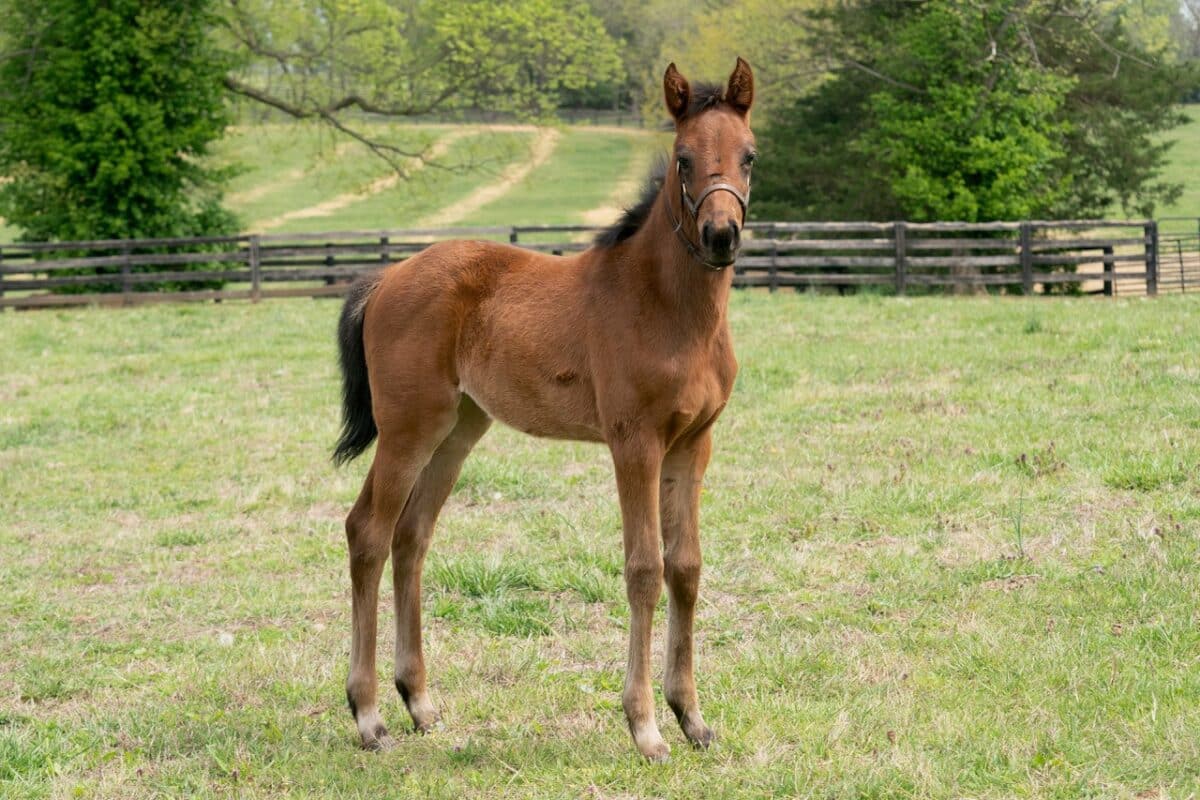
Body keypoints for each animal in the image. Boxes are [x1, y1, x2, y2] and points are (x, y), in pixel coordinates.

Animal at [333, 57, 753, 762]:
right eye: (684, 159)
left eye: (749, 156)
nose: (720, 235)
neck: (667, 307)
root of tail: (386, 277)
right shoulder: (634, 441)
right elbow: (645, 569)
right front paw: (644, 727)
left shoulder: (695, 443)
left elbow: (686, 568)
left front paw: (691, 717)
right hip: (408, 427)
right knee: (368, 531)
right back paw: (368, 716)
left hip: (457, 430)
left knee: (411, 536)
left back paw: (419, 702)